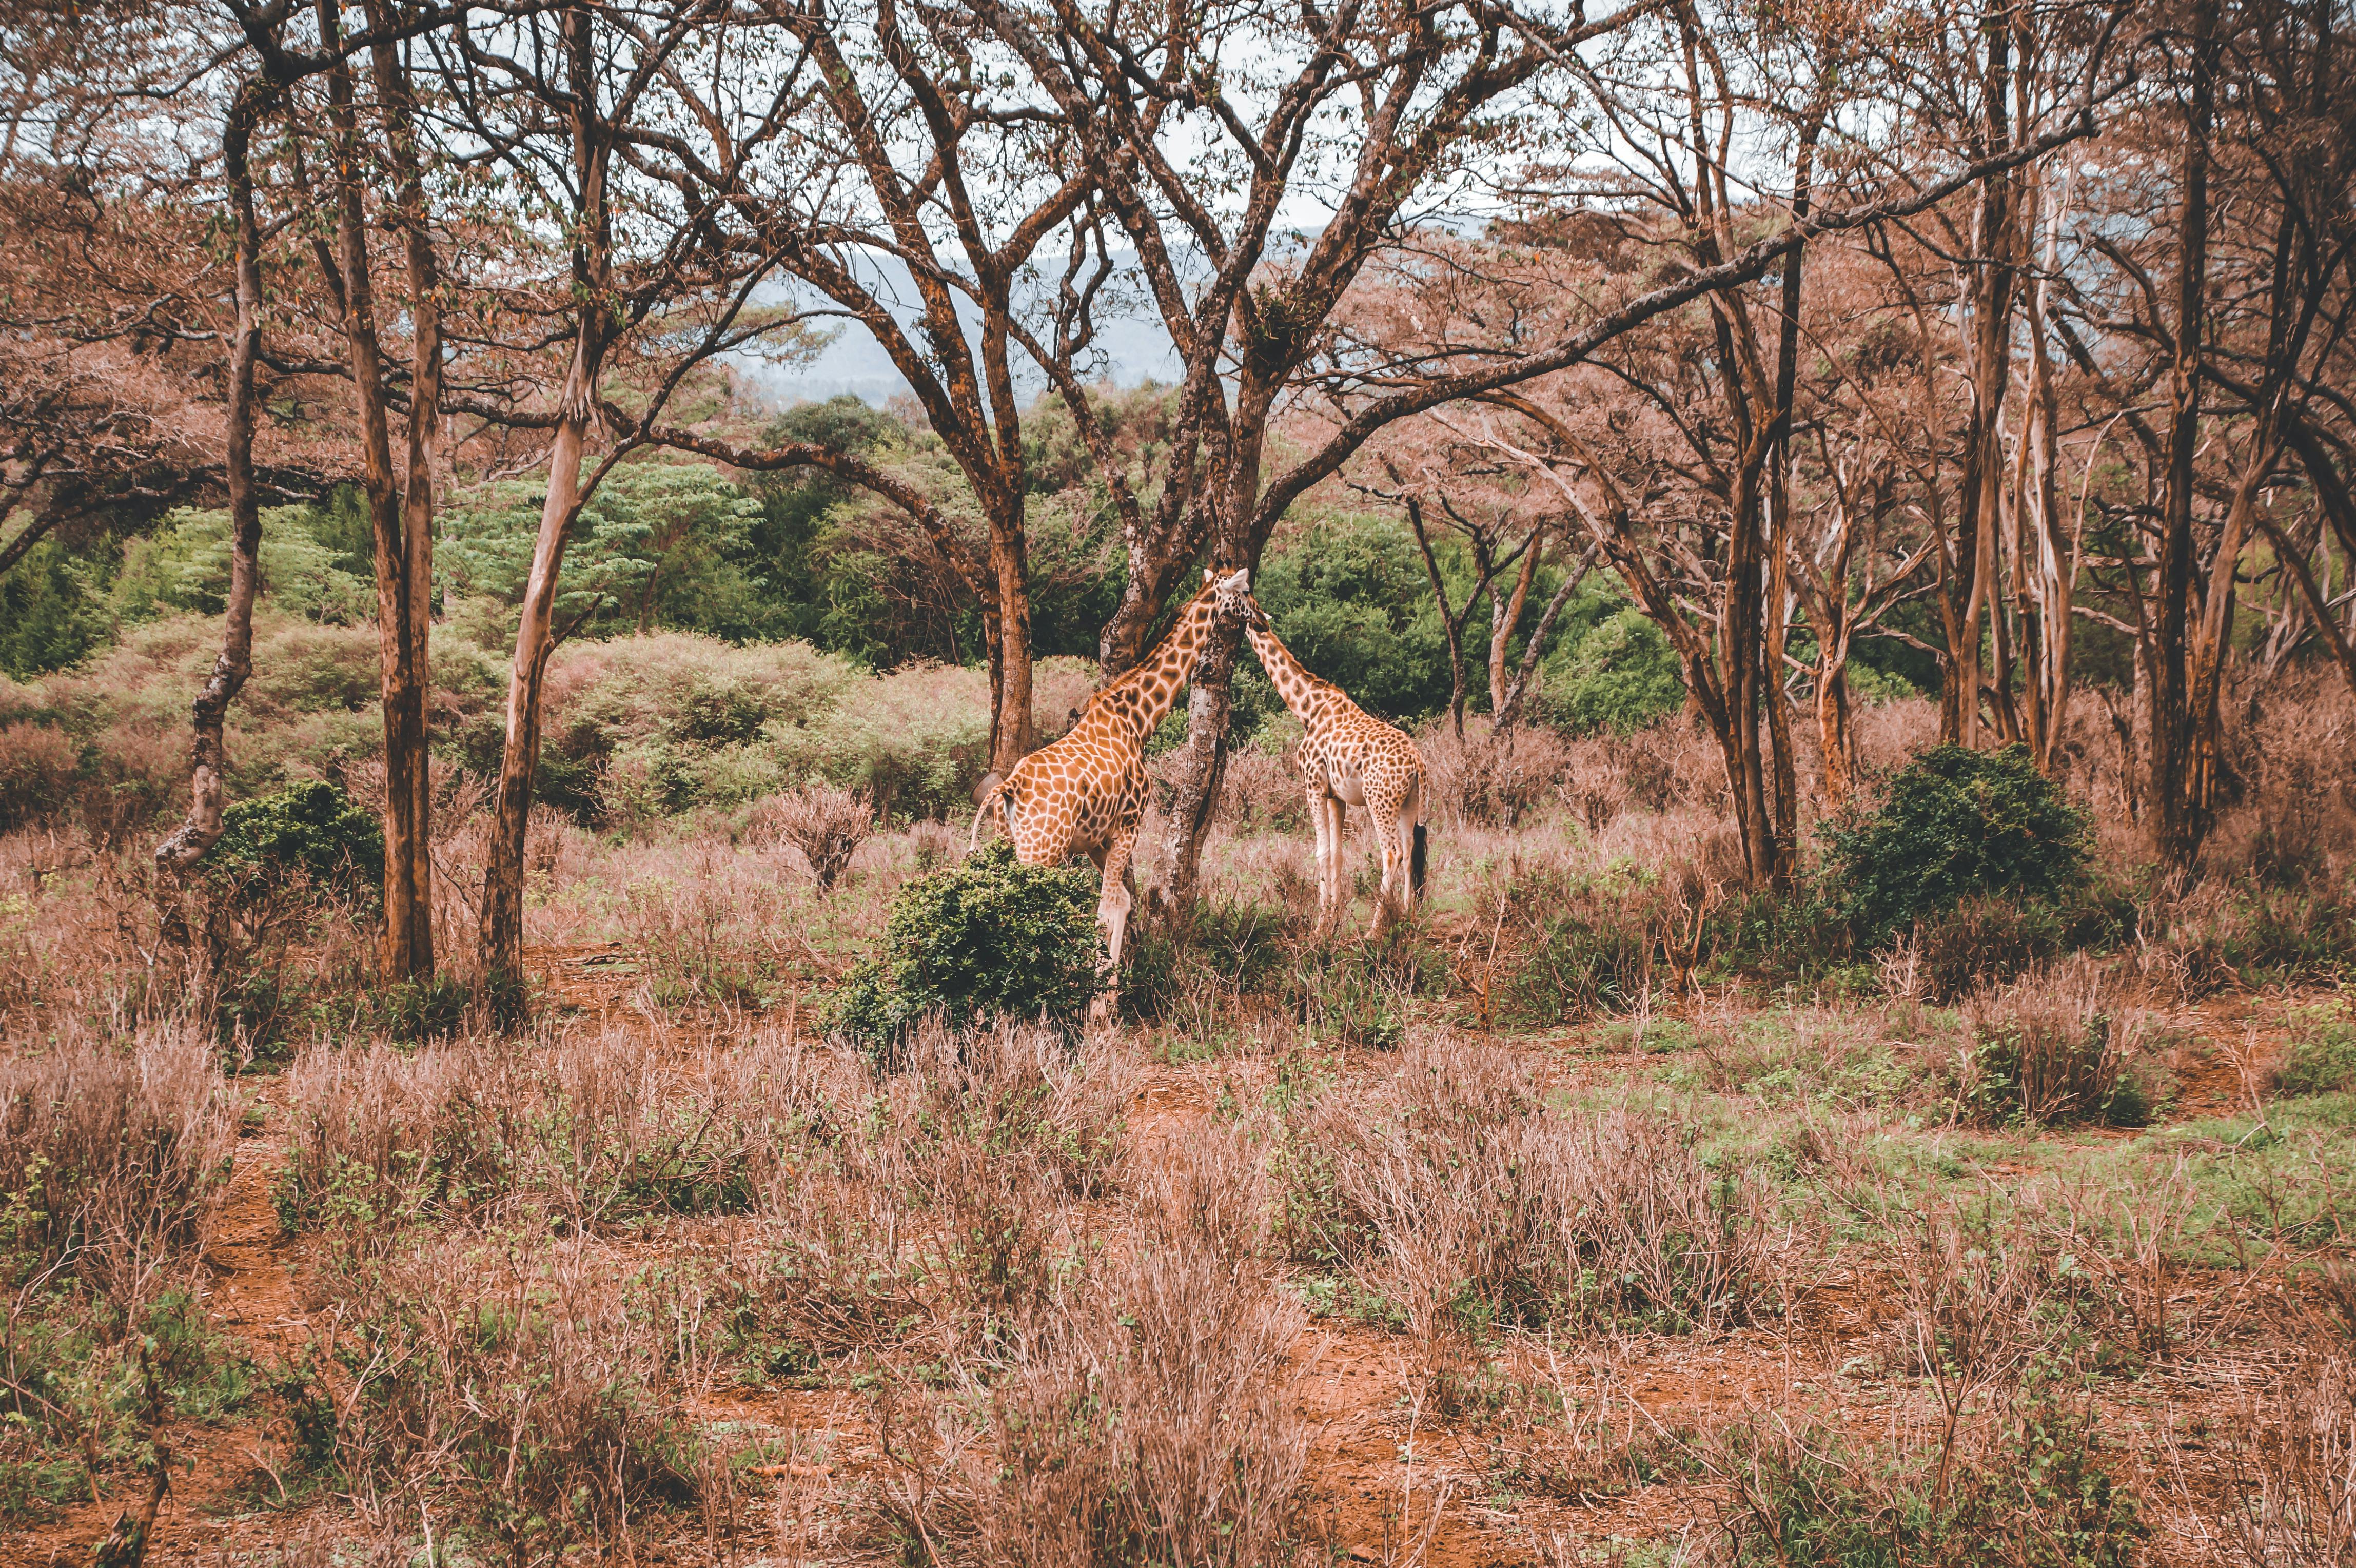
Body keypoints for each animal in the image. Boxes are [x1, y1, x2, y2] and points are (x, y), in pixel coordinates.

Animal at [969, 568, 1253, 1010]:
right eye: (1244, 591)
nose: (1262, 617)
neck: (1138, 719)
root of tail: (1012, 786)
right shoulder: (1129, 824)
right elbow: (1106, 909)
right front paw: (1099, 1007)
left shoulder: (1096, 840)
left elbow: (1120, 903)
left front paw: (1108, 995)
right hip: (1041, 849)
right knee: (1023, 911)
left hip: (1011, 841)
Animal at [1237, 595, 1428, 937]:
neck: (1308, 709)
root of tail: (1416, 762)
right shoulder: (1336, 796)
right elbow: (1338, 853)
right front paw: (1335, 918)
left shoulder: (1313, 786)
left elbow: (1322, 852)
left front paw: (1320, 925)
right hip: (1410, 802)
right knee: (1408, 852)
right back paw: (1407, 919)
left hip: (1380, 801)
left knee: (1391, 853)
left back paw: (1374, 930)